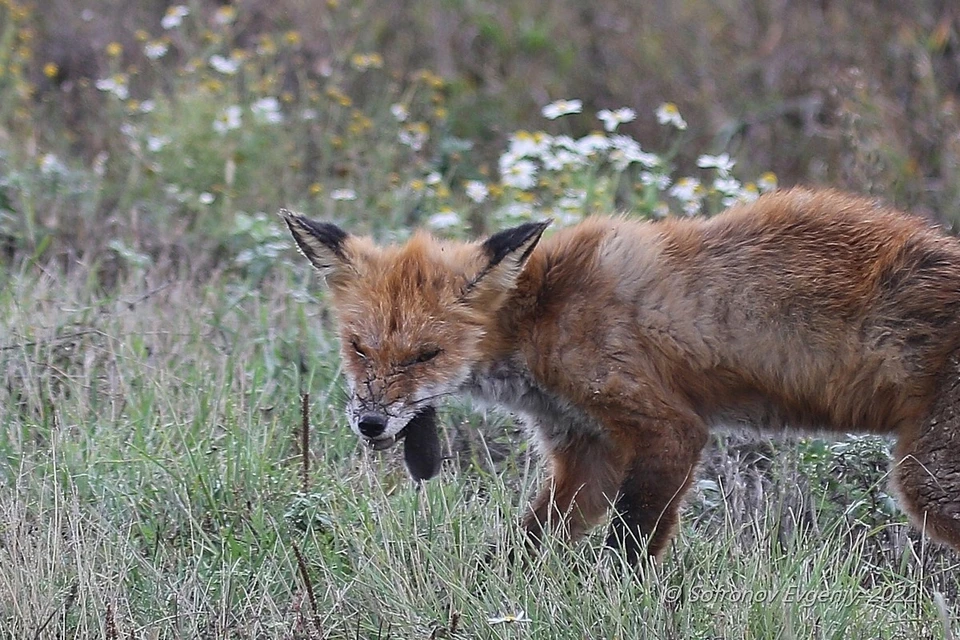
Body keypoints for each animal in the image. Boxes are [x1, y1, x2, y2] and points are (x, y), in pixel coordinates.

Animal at [282, 188, 960, 564]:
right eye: (359, 348)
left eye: (426, 354)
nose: (371, 424)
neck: (542, 311)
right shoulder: (587, 451)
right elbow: (523, 546)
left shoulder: (669, 430)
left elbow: (628, 546)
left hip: (925, 483)